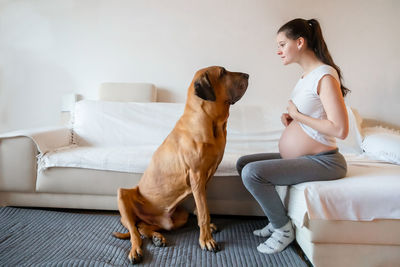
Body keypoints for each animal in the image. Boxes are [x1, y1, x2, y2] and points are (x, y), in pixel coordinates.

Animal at [112, 66, 248, 264]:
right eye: (222, 72)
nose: (247, 75)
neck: (209, 120)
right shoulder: (197, 174)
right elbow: (204, 211)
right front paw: (206, 240)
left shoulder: (205, 178)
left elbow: (201, 207)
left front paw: (207, 228)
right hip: (122, 194)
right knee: (134, 232)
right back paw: (136, 250)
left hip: (178, 216)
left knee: (143, 227)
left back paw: (156, 237)